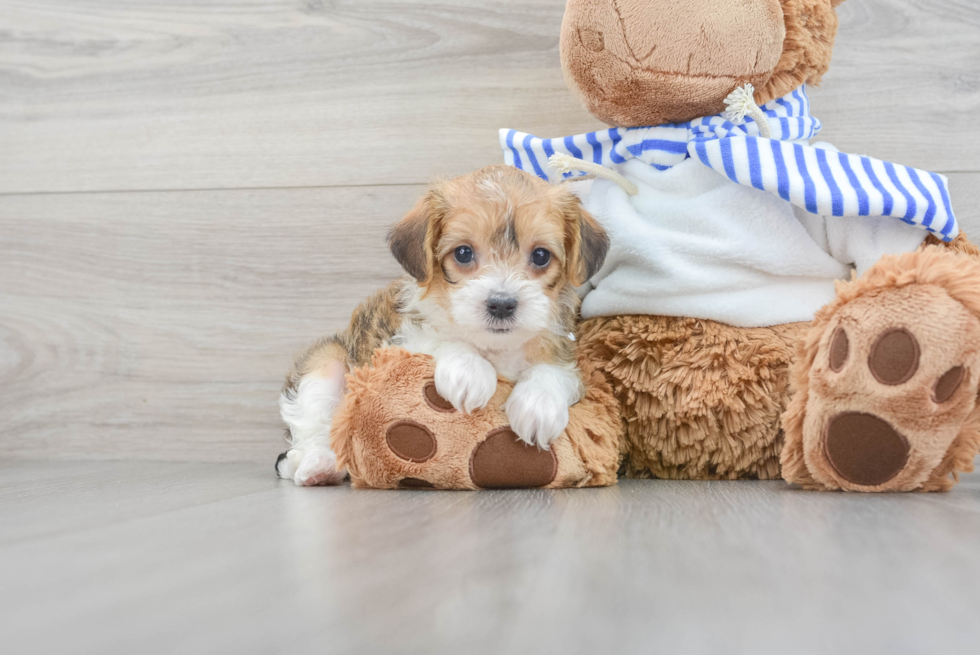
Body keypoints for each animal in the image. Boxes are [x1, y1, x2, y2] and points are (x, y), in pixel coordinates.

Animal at [276, 167, 608, 484]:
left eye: (540, 255)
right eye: (463, 253)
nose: (502, 304)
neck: (495, 348)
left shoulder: (564, 355)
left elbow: (551, 371)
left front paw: (537, 404)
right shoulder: (400, 342)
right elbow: (441, 340)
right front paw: (470, 372)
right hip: (326, 363)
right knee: (314, 428)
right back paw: (318, 465)